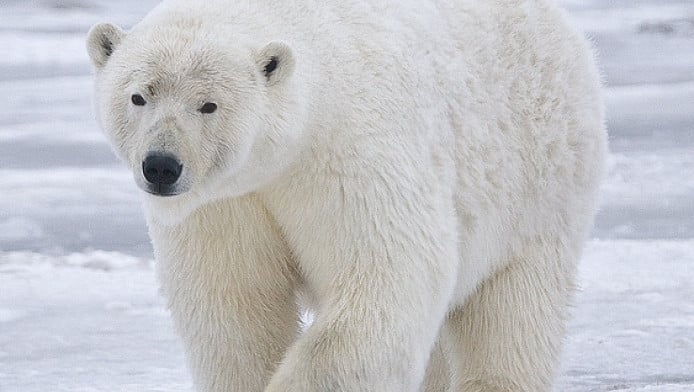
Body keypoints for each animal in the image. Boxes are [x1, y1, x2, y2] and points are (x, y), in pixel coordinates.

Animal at [88, 0, 608, 390]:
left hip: (540, 181)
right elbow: (235, 304)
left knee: (513, 312)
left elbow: (387, 278)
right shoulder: (225, 204)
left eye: (208, 104)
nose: (161, 166)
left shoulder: (351, 153)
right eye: (138, 96)